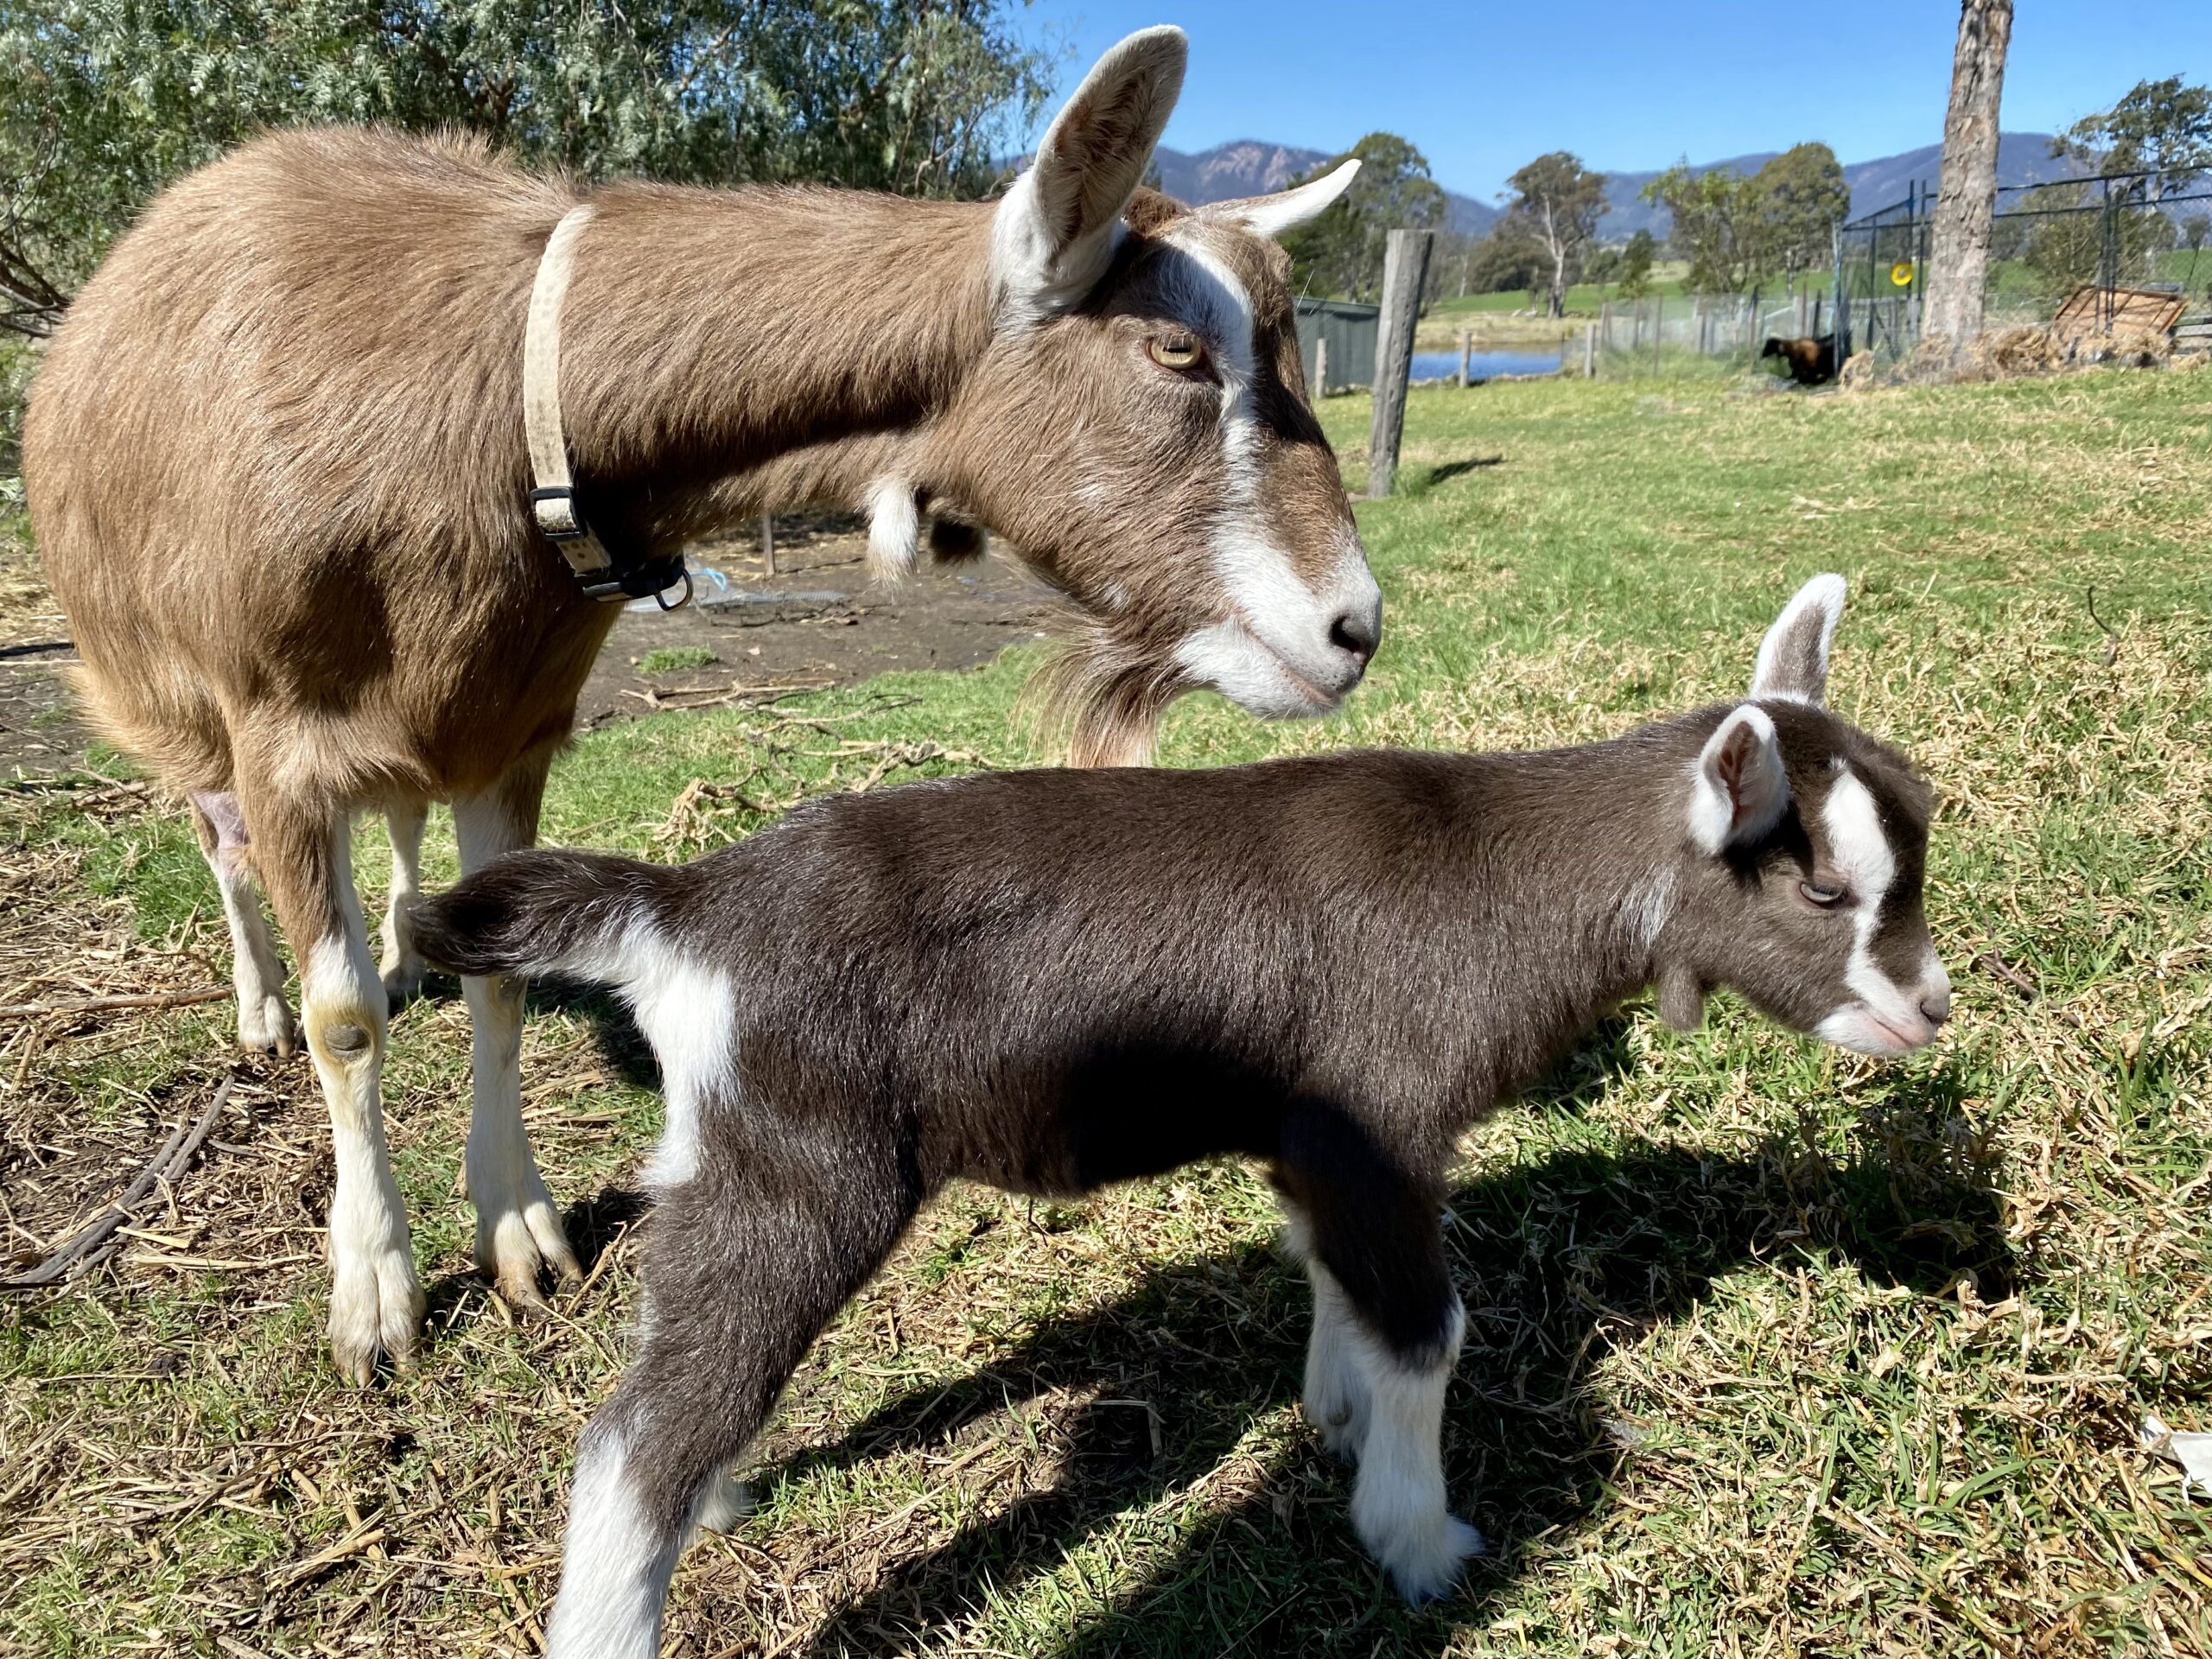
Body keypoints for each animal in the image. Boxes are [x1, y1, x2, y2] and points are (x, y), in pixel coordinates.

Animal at [23, 29, 1382, 1380]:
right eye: (1177, 352)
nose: (1354, 629)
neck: (498, 410)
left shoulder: (512, 728)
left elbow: (501, 976)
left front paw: (520, 1233)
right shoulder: (283, 739)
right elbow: (344, 1019)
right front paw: (375, 1294)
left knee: (400, 826)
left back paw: (407, 932)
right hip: (176, 699)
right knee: (219, 842)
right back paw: (257, 1003)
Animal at [410, 575, 1952, 1649]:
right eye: (1824, 890)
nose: (1930, 1010)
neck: (1494, 878)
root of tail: (690, 908)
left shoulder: (1319, 1146)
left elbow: (1333, 1282)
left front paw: (1331, 1419)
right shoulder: (1381, 1123)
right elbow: (1423, 1330)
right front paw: (1419, 1541)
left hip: (720, 1156)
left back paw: (722, 1490)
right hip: (807, 1173)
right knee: (629, 1446)